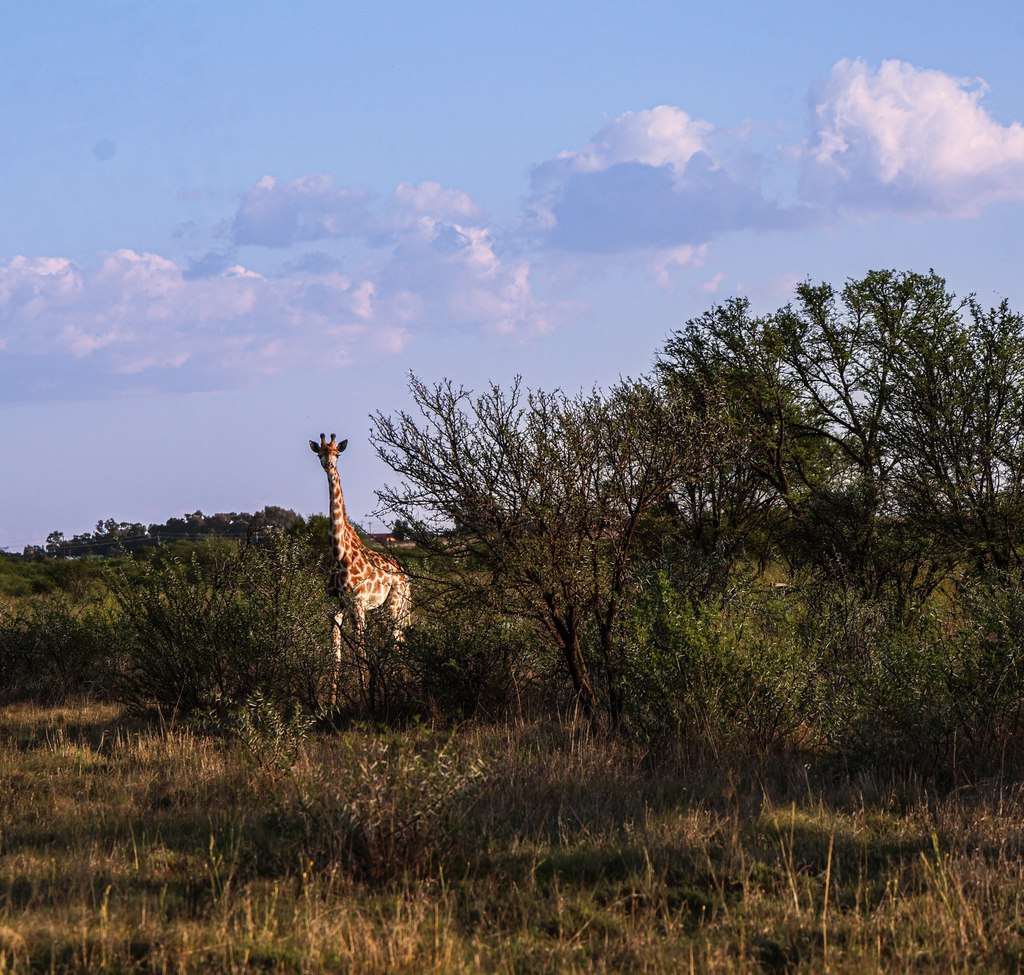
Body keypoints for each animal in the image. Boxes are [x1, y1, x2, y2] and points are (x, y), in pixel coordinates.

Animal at [309, 433, 411, 700]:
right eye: (320, 453)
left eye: (337, 453)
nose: (329, 465)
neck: (340, 554)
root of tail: (407, 577)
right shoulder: (334, 609)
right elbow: (335, 656)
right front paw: (331, 703)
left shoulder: (358, 606)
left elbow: (361, 654)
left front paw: (365, 698)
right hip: (383, 611)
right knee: (397, 641)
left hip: (395, 605)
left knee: (398, 641)